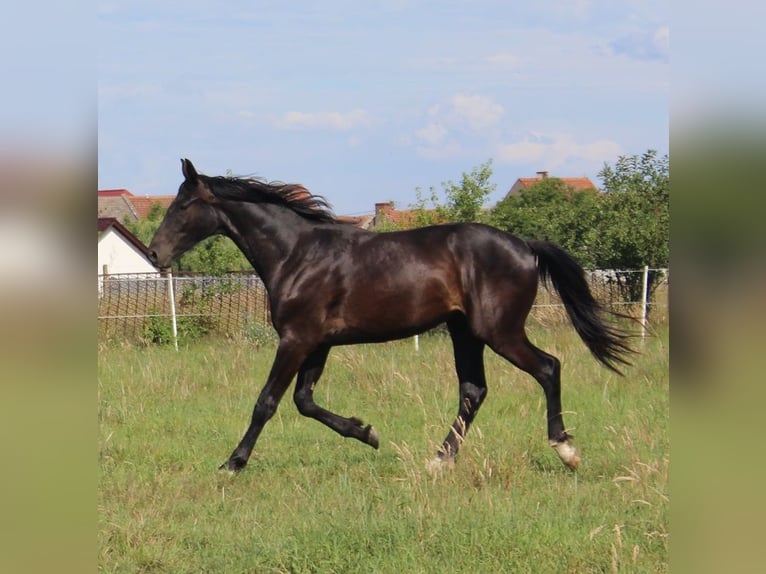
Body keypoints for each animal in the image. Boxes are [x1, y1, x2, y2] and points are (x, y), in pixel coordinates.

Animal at [147, 160, 632, 474]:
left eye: (183, 206)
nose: (154, 254)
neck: (297, 254)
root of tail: (526, 246)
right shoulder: (318, 343)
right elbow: (304, 401)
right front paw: (367, 433)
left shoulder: (296, 339)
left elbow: (267, 402)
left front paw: (232, 463)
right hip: (465, 332)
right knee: (473, 390)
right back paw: (438, 460)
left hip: (499, 330)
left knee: (548, 367)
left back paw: (565, 450)